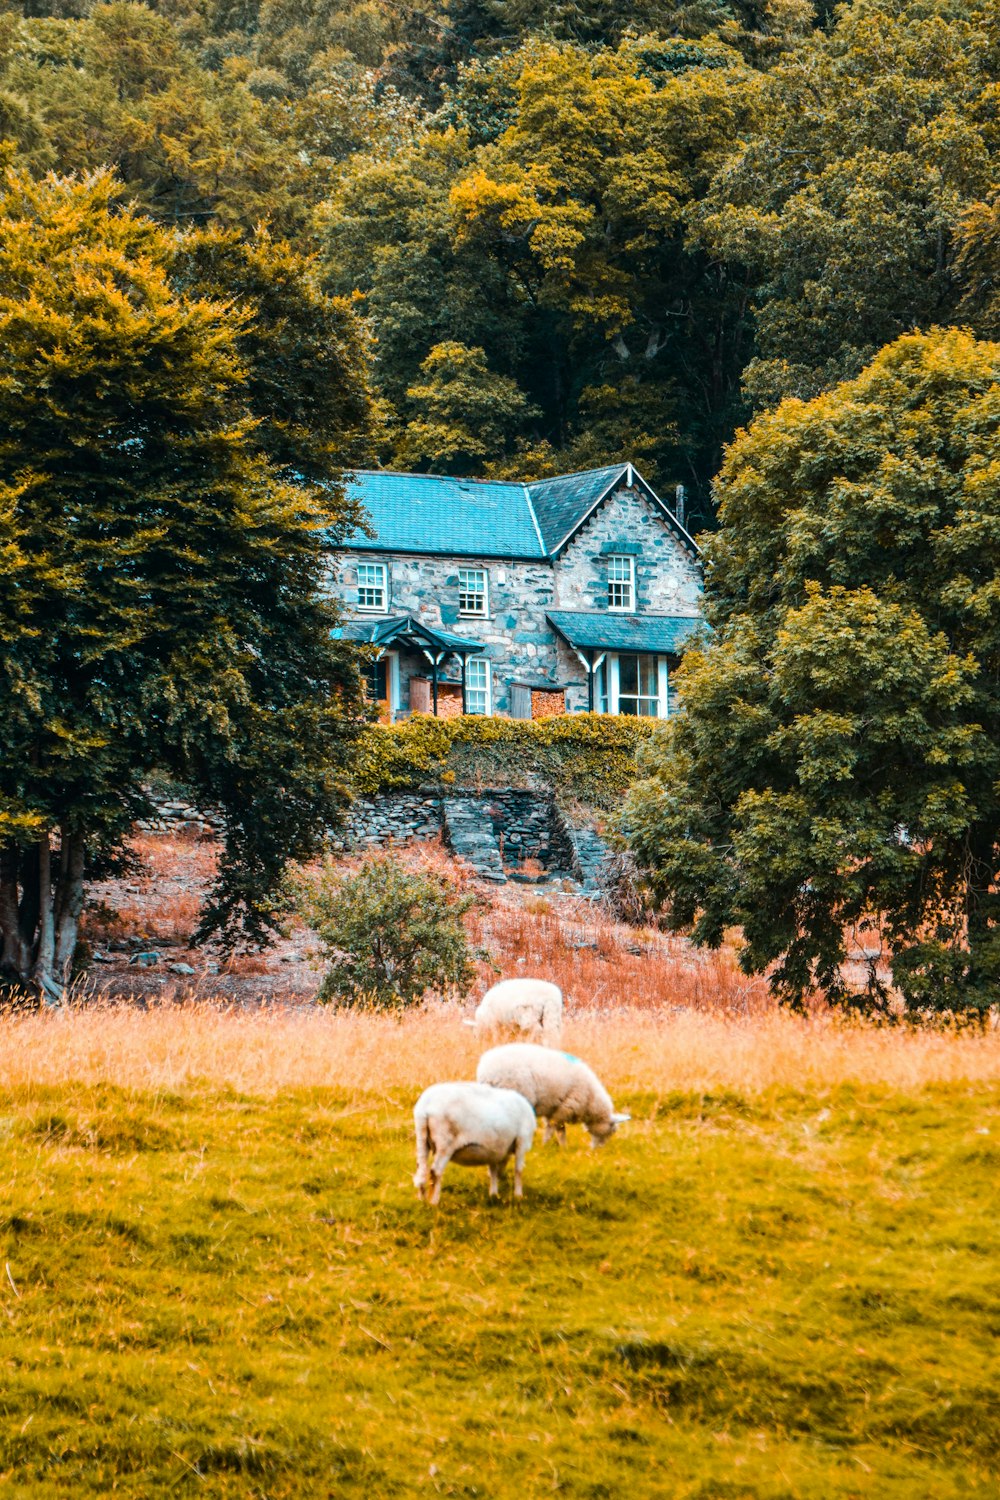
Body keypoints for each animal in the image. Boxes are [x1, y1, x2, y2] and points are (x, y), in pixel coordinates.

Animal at [476, 1044, 629, 1146]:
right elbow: (555, 1129)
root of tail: (486, 1070)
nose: (597, 1152)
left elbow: (558, 1130)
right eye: (611, 1131)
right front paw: (547, 1145)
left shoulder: (554, 1109)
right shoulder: (565, 1108)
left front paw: (562, 1149)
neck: (591, 1102)